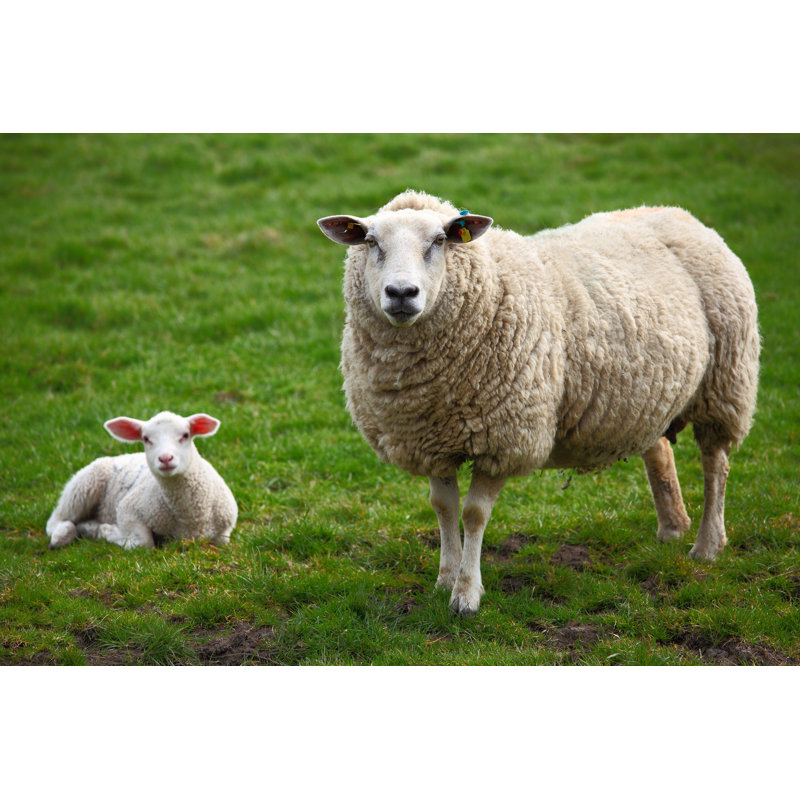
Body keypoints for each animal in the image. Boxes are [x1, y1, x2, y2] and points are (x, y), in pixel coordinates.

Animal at [47, 411, 238, 550]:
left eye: (185, 435)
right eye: (146, 439)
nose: (165, 458)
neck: (191, 517)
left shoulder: (224, 532)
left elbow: (222, 542)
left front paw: (100, 529)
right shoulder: (128, 508)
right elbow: (143, 543)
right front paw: (108, 531)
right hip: (83, 486)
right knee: (56, 519)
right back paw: (64, 534)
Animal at [317, 190, 760, 615]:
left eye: (440, 240)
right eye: (370, 241)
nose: (401, 293)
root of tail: (678, 213)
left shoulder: (503, 439)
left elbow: (473, 514)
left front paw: (467, 595)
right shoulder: (431, 439)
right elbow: (443, 508)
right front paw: (445, 579)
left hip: (724, 384)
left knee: (716, 464)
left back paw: (707, 545)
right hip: (646, 395)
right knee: (659, 451)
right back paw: (672, 528)